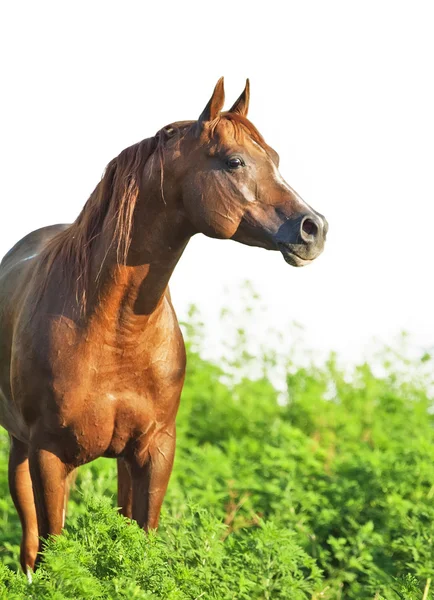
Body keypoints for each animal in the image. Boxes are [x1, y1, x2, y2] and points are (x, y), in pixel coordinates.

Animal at [0, 77, 328, 576]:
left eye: (274, 157)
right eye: (234, 161)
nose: (314, 229)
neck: (115, 331)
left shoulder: (154, 451)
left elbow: (142, 541)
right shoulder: (48, 453)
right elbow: (54, 546)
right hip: (22, 448)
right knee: (30, 539)